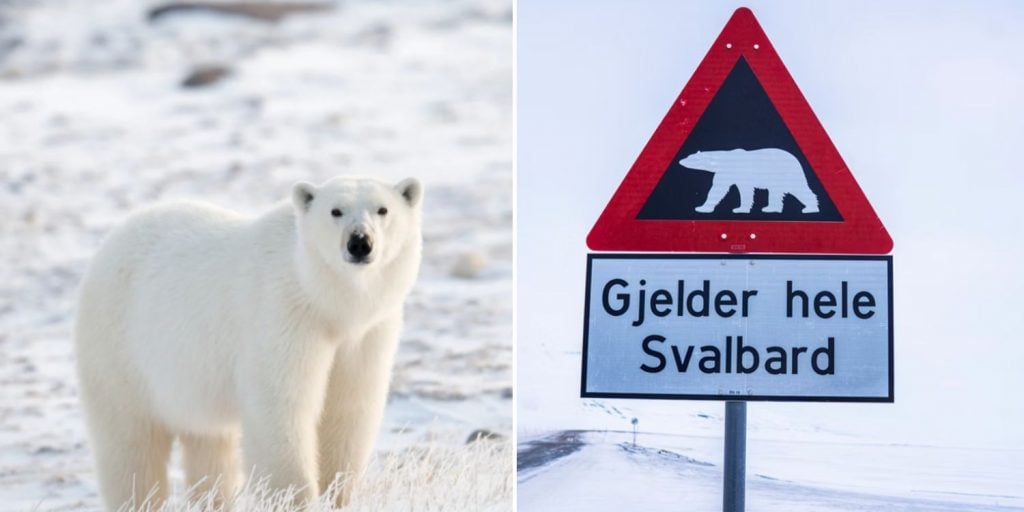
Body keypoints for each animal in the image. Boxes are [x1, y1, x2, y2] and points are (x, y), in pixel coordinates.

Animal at [74, 176, 423, 510]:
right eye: (335, 211)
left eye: (382, 209)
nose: (360, 242)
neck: (325, 302)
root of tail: (111, 239)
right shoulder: (283, 317)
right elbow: (282, 408)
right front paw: (294, 499)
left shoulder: (366, 334)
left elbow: (348, 410)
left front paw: (337, 495)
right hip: (120, 350)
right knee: (131, 445)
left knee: (210, 448)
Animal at [678, 148, 819, 214]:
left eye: (692, 158)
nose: (680, 161)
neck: (725, 159)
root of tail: (796, 159)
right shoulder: (724, 173)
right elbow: (717, 189)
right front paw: (702, 207)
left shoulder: (740, 172)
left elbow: (745, 190)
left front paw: (740, 209)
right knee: (776, 192)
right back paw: (769, 208)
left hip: (787, 173)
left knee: (799, 188)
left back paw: (810, 208)